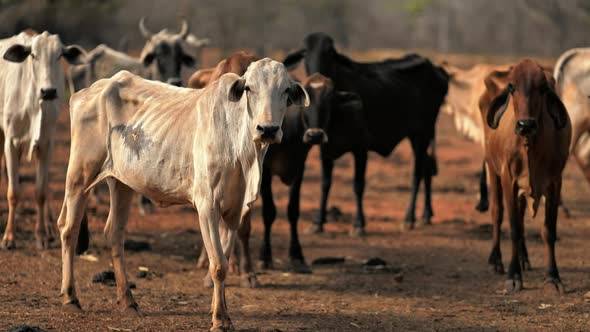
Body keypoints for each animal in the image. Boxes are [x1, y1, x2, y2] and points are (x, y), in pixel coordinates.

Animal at [0, 30, 86, 249]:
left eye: (59, 55)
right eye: (33, 55)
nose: (48, 92)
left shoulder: (47, 144)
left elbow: (40, 191)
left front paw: (41, 235)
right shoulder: (10, 142)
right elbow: (13, 192)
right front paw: (9, 237)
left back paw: (48, 227)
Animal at [58, 58, 312, 330]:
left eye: (285, 90)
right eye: (249, 88)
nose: (267, 129)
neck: (241, 149)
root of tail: (88, 91)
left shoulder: (235, 210)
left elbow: (225, 257)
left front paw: (224, 315)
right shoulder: (207, 205)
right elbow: (218, 264)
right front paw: (219, 319)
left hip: (122, 183)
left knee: (114, 233)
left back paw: (128, 301)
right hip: (80, 175)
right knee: (69, 228)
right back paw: (71, 297)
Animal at [286, 31, 448, 233]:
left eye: (330, 51)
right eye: (304, 52)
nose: (314, 135)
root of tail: (435, 69)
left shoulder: (361, 148)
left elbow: (358, 185)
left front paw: (358, 224)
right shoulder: (325, 149)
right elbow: (325, 184)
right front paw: (318, 223)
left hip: (421, 134)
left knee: (417, 173)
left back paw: (409, 218)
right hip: (420, 136)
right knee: (427, 168)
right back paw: (426, 215)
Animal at [480, 59, 572, 294]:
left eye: (543, 88)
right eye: (512, 87)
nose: (525, 125)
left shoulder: (555, 181)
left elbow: (549, 231)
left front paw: (553, 277)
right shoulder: (508, 178)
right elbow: (513, 228)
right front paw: (513, 276)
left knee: (521, 218)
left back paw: (524, 259)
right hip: (492, 168)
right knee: (497, 213)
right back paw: (496, 261)